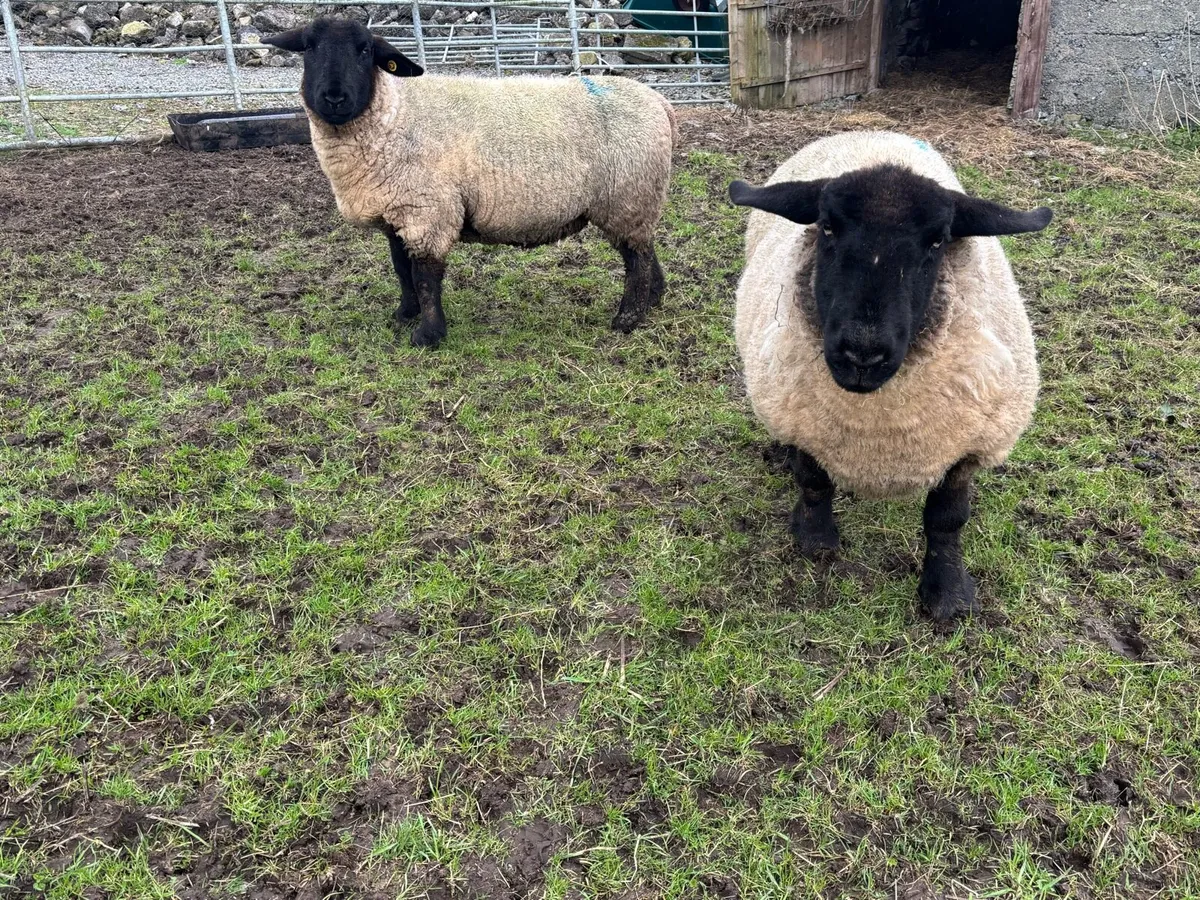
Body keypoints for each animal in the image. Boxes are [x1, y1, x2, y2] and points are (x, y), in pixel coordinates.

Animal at [263, 17, 676, 349]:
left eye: (365, 50)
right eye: (308, 48)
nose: (334, 98)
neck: (392, 115)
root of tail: (659, 102)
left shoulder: (428, 211)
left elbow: (425, 277)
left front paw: (428, 336)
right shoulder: (398, 213)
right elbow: (401, 270)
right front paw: (405, 314)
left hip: (627, 197)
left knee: (636, 261)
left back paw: (627, 319)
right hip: (638, 200)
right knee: (644, 250)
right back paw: (654, 300)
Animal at [728, 131, 1052, 621]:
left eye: (937, 242)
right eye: (826, 227)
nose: (862, 354)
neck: (876, 429)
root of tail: (869, 133)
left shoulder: (969, 447)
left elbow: (947, 519)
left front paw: (947, 594)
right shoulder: (801, 421)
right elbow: (813, 482)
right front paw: (815, 538)